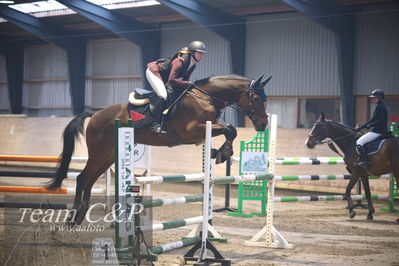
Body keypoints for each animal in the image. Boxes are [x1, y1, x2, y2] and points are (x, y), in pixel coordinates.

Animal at [47, 73, 272, 224]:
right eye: (256, 99)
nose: (263, 125)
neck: (205, 97)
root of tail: (94, 114)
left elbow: (229, 130)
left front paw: (219, 152)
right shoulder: (191, 131)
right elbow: (230, 129)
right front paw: (222, 153)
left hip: (108, 156)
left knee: (90, 179)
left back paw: (81, 215)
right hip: (99, 153)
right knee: (82, 178)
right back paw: (72, 218)